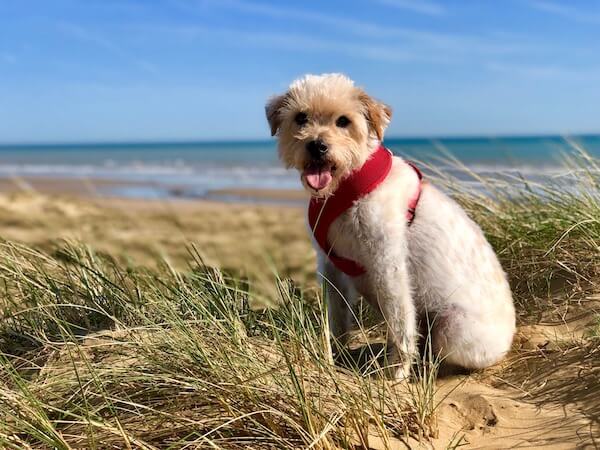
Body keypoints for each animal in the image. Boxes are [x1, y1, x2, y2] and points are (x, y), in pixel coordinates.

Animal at [268, 74, 516, 380]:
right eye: (301, 117)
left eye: (343, 121)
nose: (317, 146)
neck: (345, 186)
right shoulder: (330, 267)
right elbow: (335, 319)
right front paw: (334, 356)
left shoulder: (387, 265)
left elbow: (400, 323)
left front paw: (396, 372)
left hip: (452, 328)